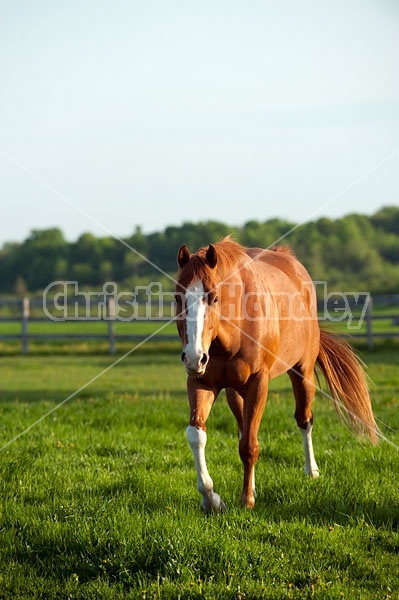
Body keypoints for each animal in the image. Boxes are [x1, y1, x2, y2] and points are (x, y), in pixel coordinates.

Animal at [177, 237, 380, 512]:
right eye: (178, 298)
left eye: (214, 298)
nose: (193, 356)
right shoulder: (201, 382)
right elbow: (197, 435)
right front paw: (212, 500)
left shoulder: (258, 383)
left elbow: (249, 446)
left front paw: (246, 500)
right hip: (234, 392)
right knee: (243, 428)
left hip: (302, 373)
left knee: (304, 420)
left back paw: (311, 471)